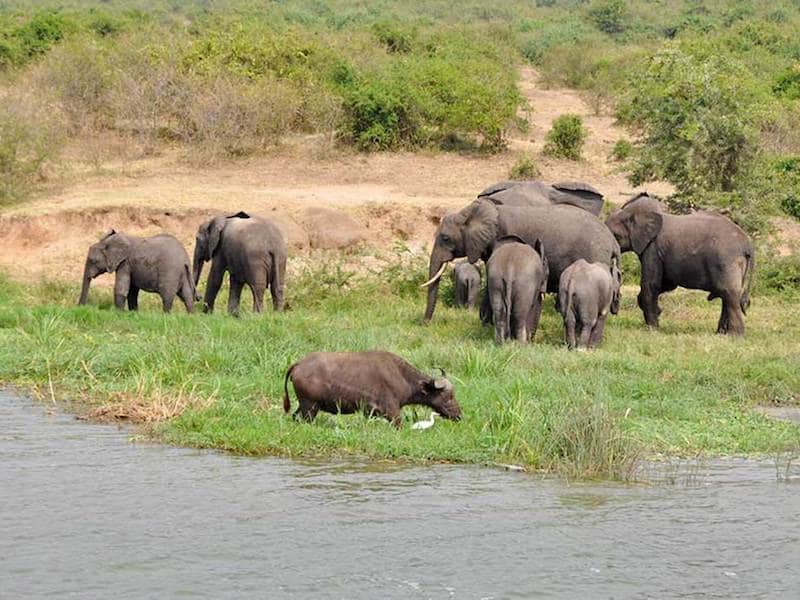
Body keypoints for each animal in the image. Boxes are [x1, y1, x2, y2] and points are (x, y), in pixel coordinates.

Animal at [422, 198, 620, 322]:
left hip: (594, 253)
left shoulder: (500, 236)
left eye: (445, 238)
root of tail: (613, 242)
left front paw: (485, 320)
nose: (425, 323)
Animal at [608, 199, 756, 336]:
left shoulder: (653, 248)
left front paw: (652, 330)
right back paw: (720, 334)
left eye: (615, 236)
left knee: (730, 294)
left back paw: (734, 336)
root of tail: (747, 244)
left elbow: (651, 285)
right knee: (727, 295)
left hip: (728, 260)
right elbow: (666, 284)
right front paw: (655, 313)